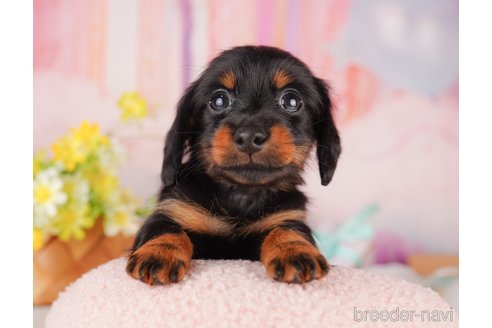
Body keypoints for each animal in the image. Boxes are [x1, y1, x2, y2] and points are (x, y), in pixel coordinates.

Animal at [127, 45, 340, 284]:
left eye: (291, 101)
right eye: (219, 100)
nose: (249, 136)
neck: (240, 193)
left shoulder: (287, 216)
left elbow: (287, 230)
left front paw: (295, 252)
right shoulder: (174, 208)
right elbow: (165, 229)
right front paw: (159, 253)